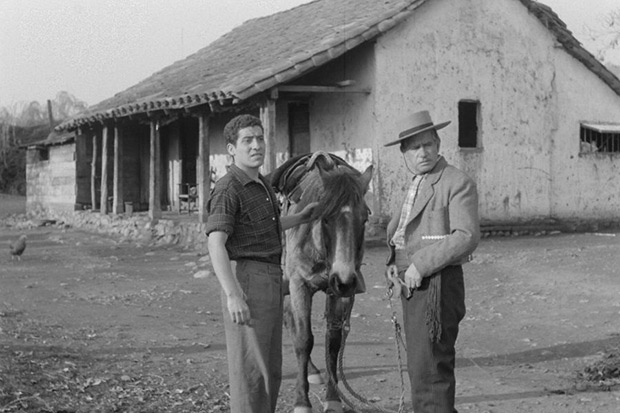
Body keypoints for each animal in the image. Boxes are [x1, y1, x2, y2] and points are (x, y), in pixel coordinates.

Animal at [272, 151, 372, 412]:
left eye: (364, 219)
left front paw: (333, 398)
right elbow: (304, 339)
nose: (345, 280)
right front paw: (302, 402)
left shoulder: (338, 292)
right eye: (325, 218)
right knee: (291, 322)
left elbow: (333, 343)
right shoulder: (299, 285)